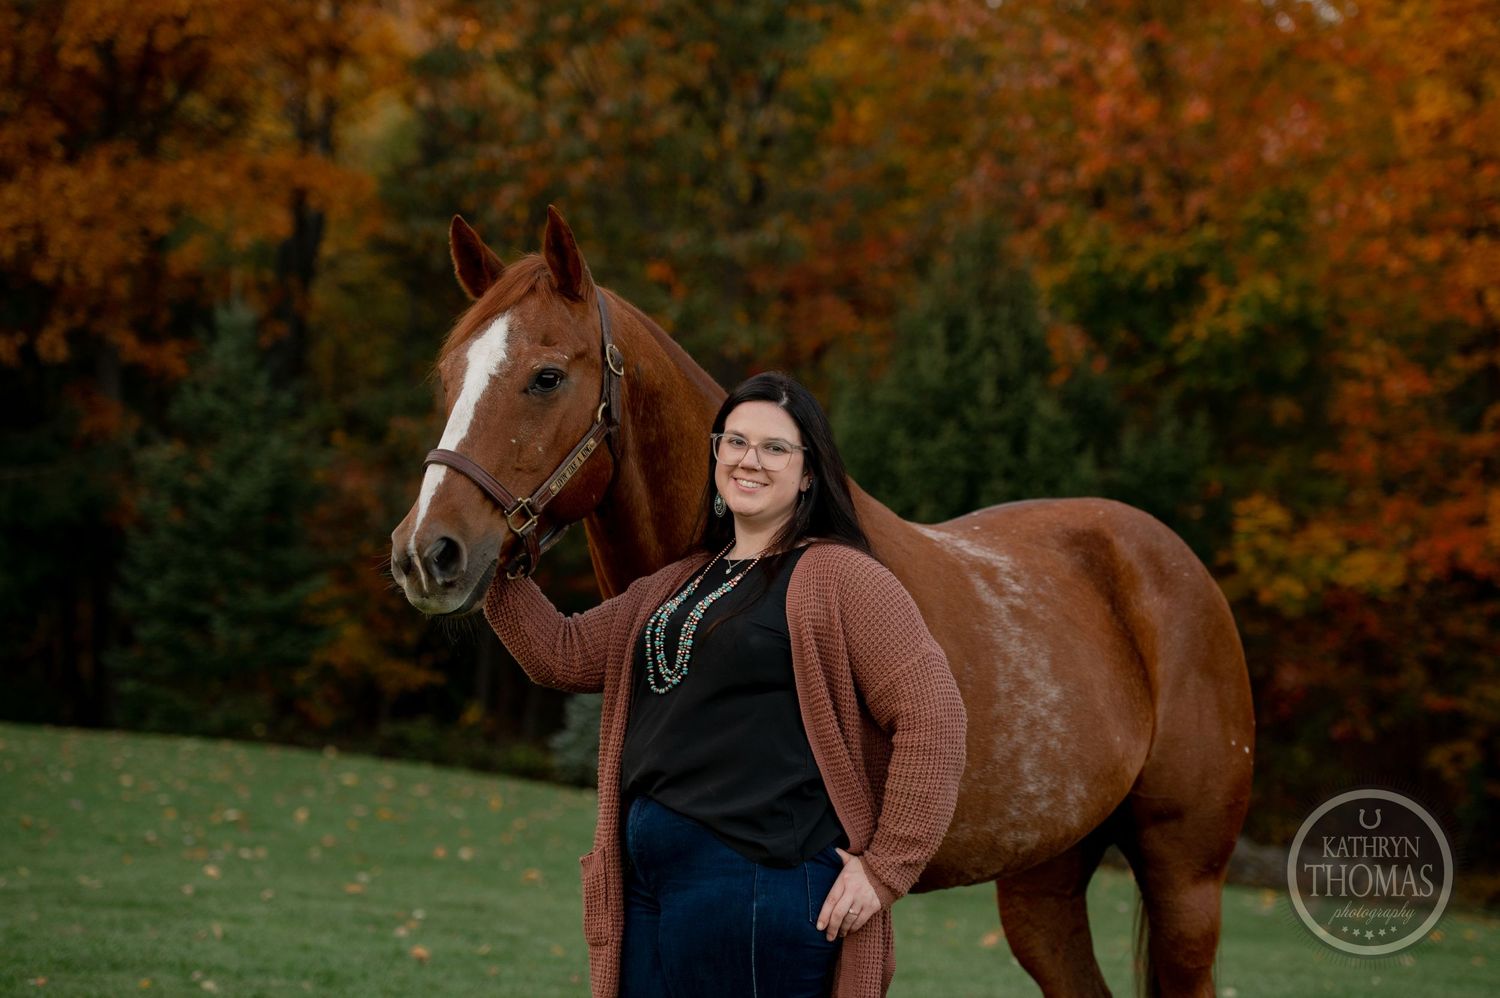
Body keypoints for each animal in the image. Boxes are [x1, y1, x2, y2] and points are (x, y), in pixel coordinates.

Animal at [390, 206, 1254, 996]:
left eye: (546, 376)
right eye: (448, 376)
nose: (426, 553)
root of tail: (1172, 563)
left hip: (1186, 886)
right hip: (1042, 882)